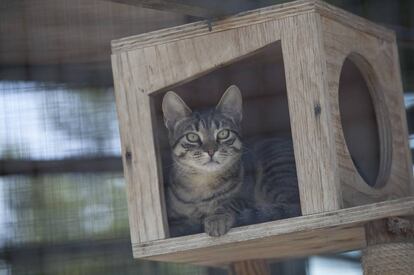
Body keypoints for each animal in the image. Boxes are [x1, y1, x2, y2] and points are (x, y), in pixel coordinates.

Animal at [160, 85, 300, 238]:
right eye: (192, 137)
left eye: (223, 133)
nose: (211, 151)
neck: (203, 186)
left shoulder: (245, 198)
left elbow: (229, 203)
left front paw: (216, 218)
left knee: (290, 205)